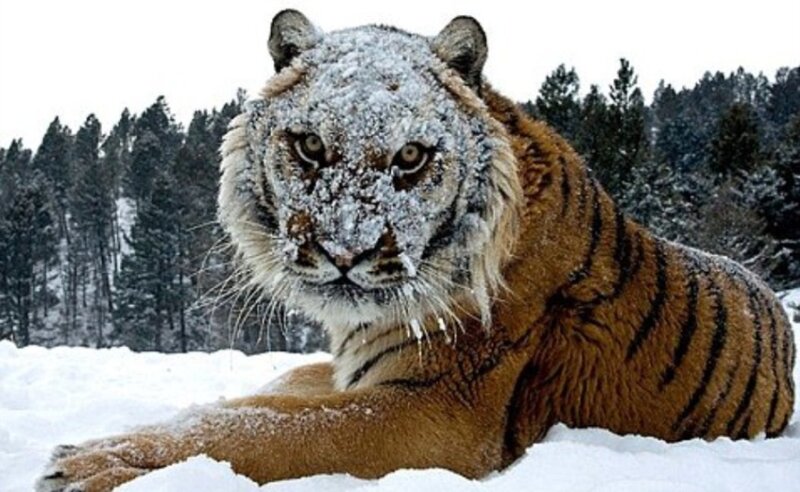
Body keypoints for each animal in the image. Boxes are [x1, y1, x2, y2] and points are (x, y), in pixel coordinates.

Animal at [37, 10, 795, 492]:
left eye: (409, 158)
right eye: (309, 146)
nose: (345, 249)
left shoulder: (433, 411)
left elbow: (259, 432)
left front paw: (84, 464)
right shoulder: (356, 372)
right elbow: (251, 402)